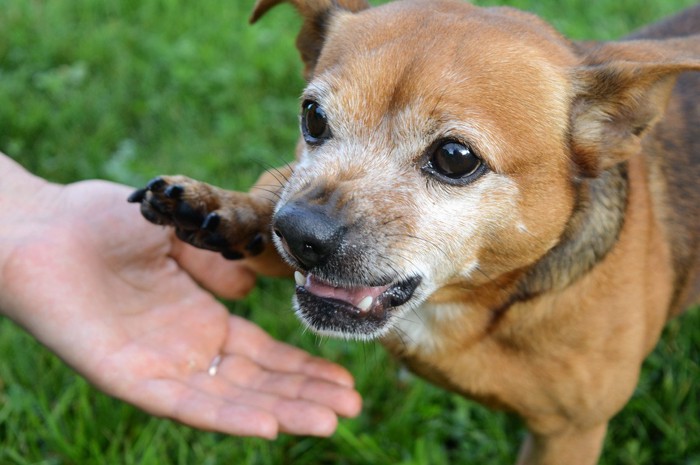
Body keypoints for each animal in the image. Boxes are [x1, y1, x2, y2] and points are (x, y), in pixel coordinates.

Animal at [127, 1, 700, 462]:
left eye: (455, 157)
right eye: (313, 118)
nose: (298, 234)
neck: (463, 304)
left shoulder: (569, 435)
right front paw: (221, 209)